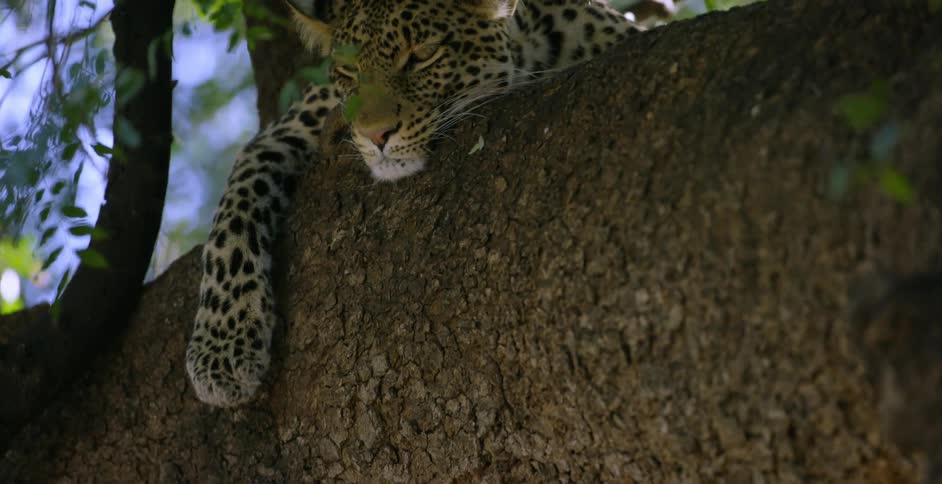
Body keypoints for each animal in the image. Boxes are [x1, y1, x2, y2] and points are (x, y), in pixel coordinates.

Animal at [185, 0, 640, 407]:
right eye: (349, 72)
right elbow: (233, 215)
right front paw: (221, 348)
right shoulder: (293, 127)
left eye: (421, 56)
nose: (376, 135)